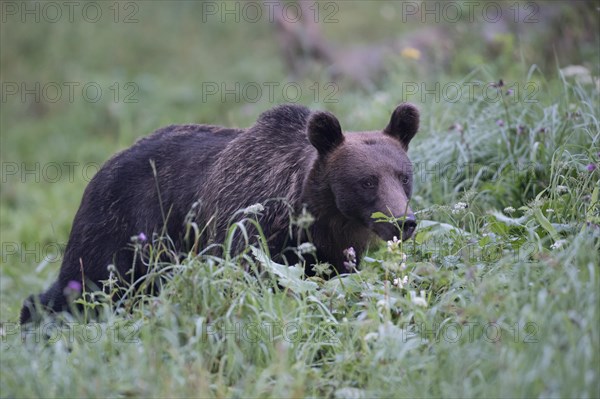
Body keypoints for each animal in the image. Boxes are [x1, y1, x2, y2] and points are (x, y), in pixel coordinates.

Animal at [19, 104, 422, 324]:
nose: (403, 221)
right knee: (85, 284)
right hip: (124, 228)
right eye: (367, 181)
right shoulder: (248, 227)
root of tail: (103, 166)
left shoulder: (332, 254)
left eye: (403, 176)